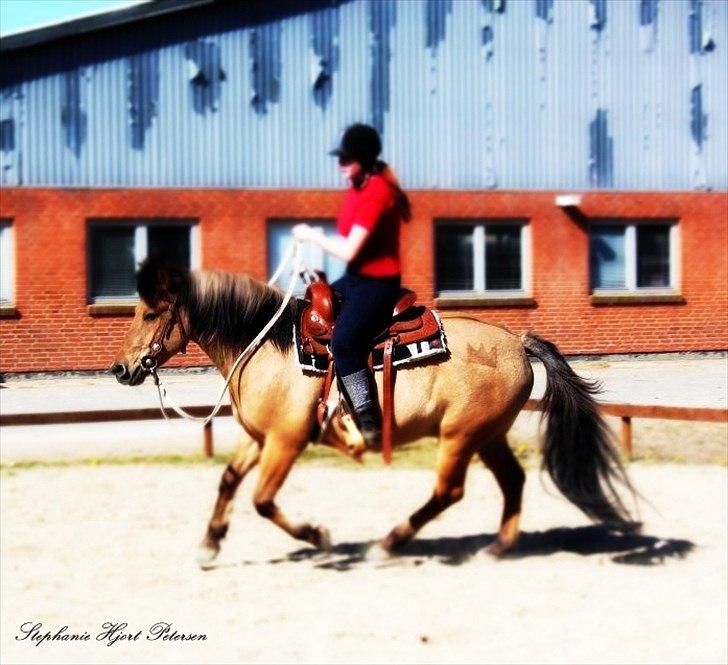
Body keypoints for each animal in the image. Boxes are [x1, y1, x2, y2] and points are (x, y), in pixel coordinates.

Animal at [109, 258, 636, 564]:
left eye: (151, 313)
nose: (121, 368)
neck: (266, 346)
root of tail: (518, 343)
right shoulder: (260, 437)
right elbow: (228, 481)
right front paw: (210, 543)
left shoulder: (286, 441)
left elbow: (261, 500)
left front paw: (317, 536)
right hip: (488, 435)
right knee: (512, 481)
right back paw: (497, 547)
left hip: (461, 435)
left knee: (449, 491)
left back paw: (389, 543)